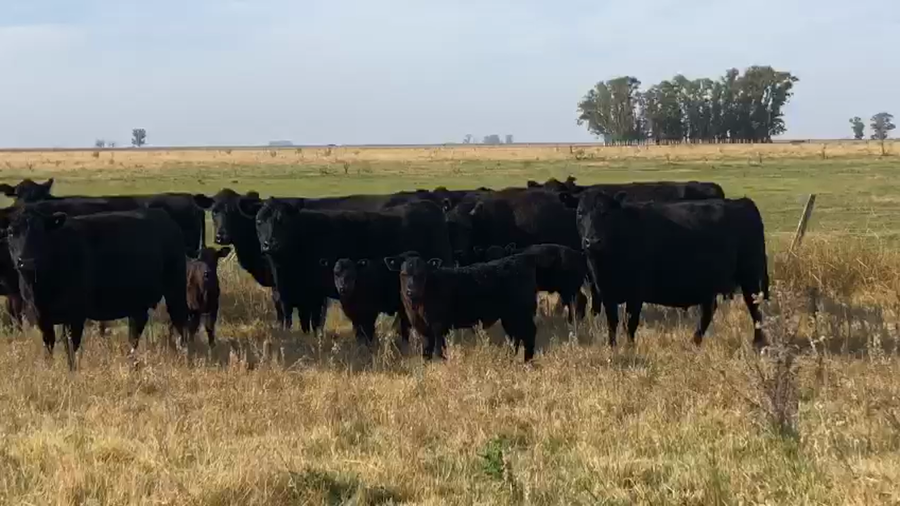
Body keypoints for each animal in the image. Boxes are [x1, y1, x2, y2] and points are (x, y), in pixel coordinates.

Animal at [1, 206, 191, 369]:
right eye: (11, 232)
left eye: (41, 232)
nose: (27, 262)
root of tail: (162, 215)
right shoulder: (40, 315)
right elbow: (48, 344)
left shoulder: (75, 314)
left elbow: (71, 347)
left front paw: (72, 372)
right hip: (137, 302)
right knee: (135, 331)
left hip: (175, 288)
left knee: (180, 321)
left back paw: (184, 356)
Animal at [384, 252, 539, 362]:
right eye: (403, 274)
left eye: (422, 274)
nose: (411, 291)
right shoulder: (423, 328)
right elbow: (427, 351)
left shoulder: (439, 325)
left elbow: (439, 350)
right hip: (509, 316)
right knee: (514, 337)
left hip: (521, 313)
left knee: (528, 334)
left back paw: (528, 362)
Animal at [576, 190, 769, 348]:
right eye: (580, 213)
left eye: (606, 214)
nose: (592, 241)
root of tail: (742, 202)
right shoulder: (606, 293)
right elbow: (612, 323)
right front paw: (612, 347)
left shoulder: (636, 293)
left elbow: (630, 323)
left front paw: (630, 348)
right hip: (709, 284)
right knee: (708, 311)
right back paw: (694, 342)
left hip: (750, 277)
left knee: (754, 308)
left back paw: (758, 342)